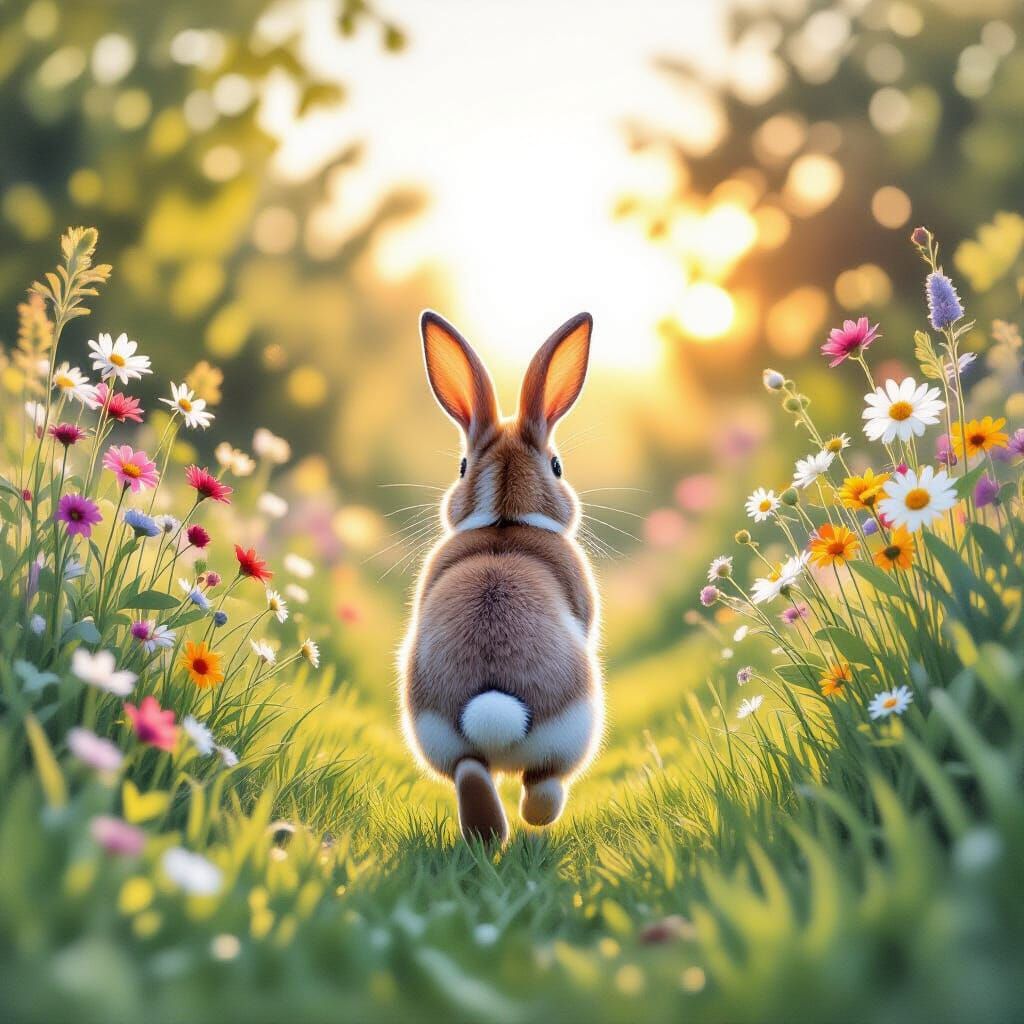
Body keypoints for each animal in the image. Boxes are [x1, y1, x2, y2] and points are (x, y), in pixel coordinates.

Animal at [399, 310, 604, 844]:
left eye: (462, 466)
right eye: (557, 465)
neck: (505, 519)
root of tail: (493, 705)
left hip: (440, 739)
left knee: (472, 776)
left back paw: (489, 837)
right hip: (571, 735)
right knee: (542, 786)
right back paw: (536, 822)